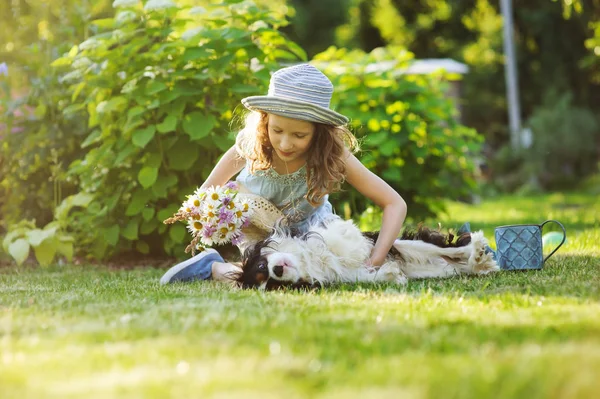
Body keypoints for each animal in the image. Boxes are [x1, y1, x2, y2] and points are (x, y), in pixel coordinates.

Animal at [237, 219, 500, 290]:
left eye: (262, 266)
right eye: (275, 285)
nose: (277, 270)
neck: (307, 263)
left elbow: (342, 242)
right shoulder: (348, 275)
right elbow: (370, 275)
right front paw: (392, 274)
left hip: (407, 244)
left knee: (449, 250)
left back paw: (477, 251)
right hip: (436, 270)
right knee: (456, 265)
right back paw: (479, 263)